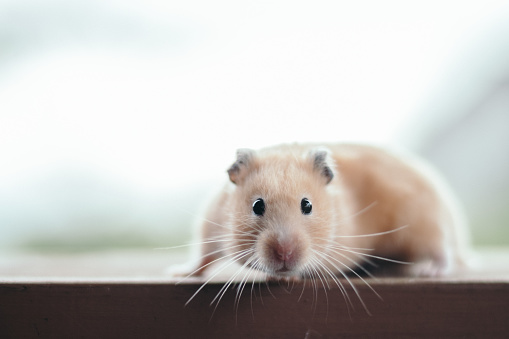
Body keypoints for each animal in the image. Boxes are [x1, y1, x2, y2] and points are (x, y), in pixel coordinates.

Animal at [178, 143, 468, 282]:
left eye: (307, 205)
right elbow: (201, 256)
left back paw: (431, 271)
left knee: (442, 251)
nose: (285, 254)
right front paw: (180, 272)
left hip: (425, 223)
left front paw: (288, 276)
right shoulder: (212, 222)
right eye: (257, 205)